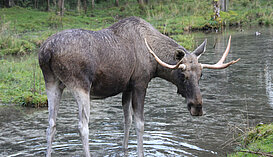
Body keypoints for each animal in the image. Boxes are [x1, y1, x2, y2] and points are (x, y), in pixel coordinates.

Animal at [37, 16, 238, 156]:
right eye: (183, 74)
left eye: (201, 75)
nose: (197, 107)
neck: (155, 62)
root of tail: (46, 52)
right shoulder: (141, 83)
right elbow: (140, 123)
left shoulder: (127, 87)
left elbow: (127, 120)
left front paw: (125, 150)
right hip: (80, 85)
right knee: (82, 126)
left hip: (52, 83)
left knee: (51, 124)